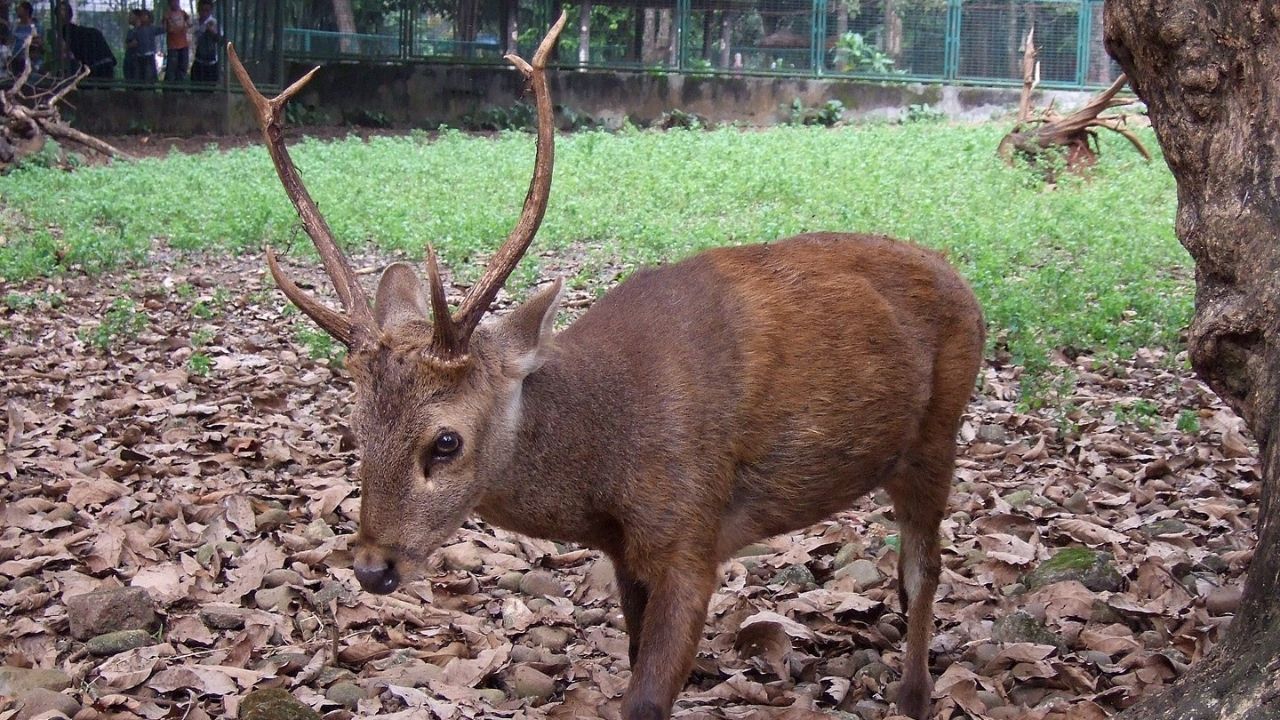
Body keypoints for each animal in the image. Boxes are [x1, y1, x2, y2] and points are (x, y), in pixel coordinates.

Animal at [229, 14, 983, 720]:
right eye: (355, 430)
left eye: (445, 441)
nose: (372, 566)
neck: (607, 468)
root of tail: (966, 288)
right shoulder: (627, 555)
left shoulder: (692, 534)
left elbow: (646, 698)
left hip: (937, 435)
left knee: (925, 567)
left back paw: (914, 694)